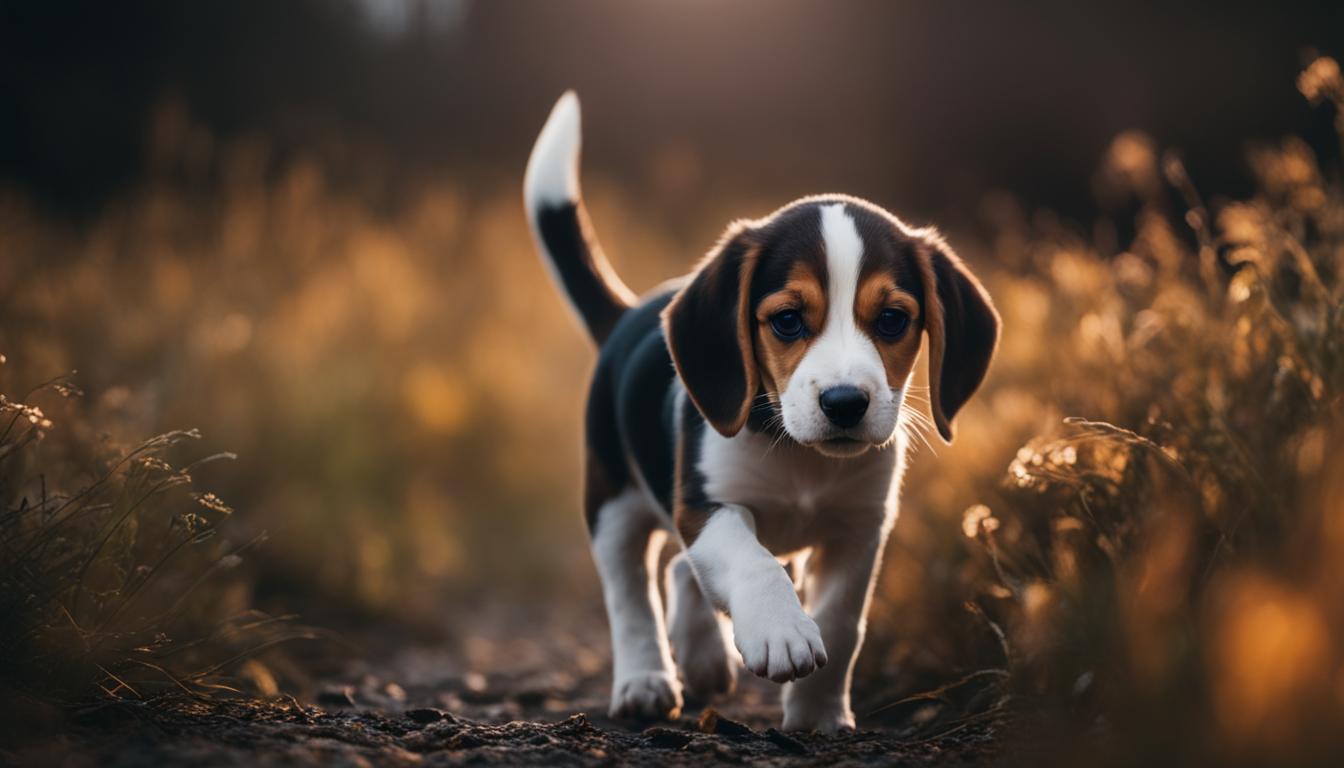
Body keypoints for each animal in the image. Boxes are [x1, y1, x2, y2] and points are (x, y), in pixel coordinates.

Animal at [524, 91, 999, 731]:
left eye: (893, 319)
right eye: (788, 320)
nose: (845, 403)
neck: (801, 457)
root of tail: (625, 315)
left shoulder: (859, 528)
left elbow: (842, 625)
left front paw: (819, 715)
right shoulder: (706, 503)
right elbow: (751, 562)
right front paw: (781, 631)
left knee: (682, 571)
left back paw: (703, 659)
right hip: (611, 500)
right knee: (630, 593)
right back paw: (645, 681)